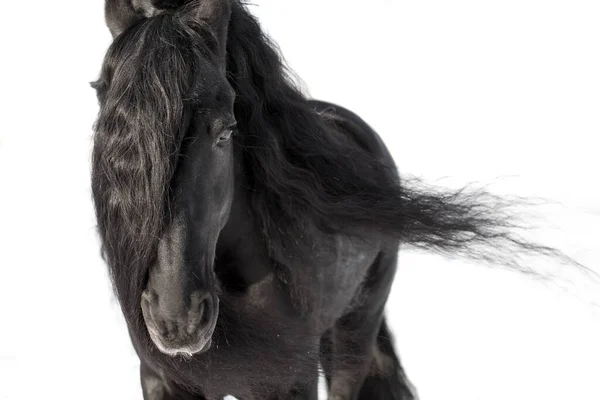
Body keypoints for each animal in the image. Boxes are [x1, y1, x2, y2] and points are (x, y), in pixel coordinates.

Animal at [91, 0, 568, 400]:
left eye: (225, 130)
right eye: (105, 128)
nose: (177, 318)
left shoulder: (288, 382)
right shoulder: (164, 381)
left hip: (354, 331)